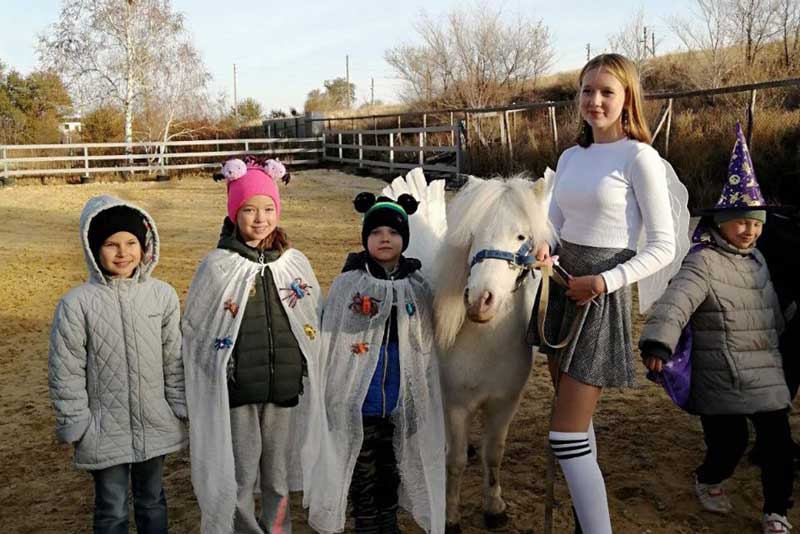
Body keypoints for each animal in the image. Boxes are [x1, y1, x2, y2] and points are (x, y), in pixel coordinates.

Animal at [384, 170, 552, 532]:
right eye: (473, 236)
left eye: (521, 236)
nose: (479, 300)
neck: (486, 341)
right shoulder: (456, 405)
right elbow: (456, 461)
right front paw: (450, 516)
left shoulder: (504, 403)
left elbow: (494, 454)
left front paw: (494, 508)